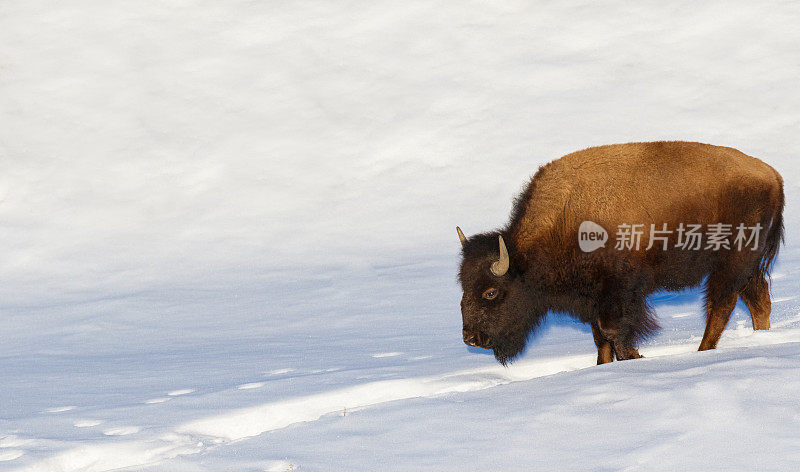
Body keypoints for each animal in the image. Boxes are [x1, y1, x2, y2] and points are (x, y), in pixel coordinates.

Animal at [460, 142, 784, 366]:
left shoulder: (619, 291)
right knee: (758, 300)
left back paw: (703, 351)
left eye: (490, 292)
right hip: (747, 265)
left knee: (721, 304)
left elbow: (614, 332)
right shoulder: (593, 298)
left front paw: (636, 358)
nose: (471, 338)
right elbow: (600, 339)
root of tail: (772, 175)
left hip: (732, 260)